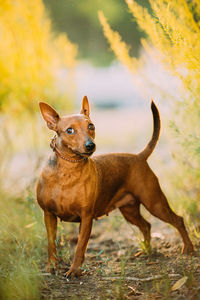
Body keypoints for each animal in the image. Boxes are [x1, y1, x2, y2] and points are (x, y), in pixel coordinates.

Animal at [37, 96, 194, 276]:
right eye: (69, 130)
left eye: (91, 126)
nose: (90, 145)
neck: (67, 171)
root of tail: (139, 157)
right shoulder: (49, 215)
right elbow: (51, 244)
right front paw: (51, 267)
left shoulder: (86, 217)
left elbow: (80, 247)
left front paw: (75, 270)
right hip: (129, 210)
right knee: (146, 225)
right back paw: (146, 251)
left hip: (155, 203)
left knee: (178, 220)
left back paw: (188, 249)